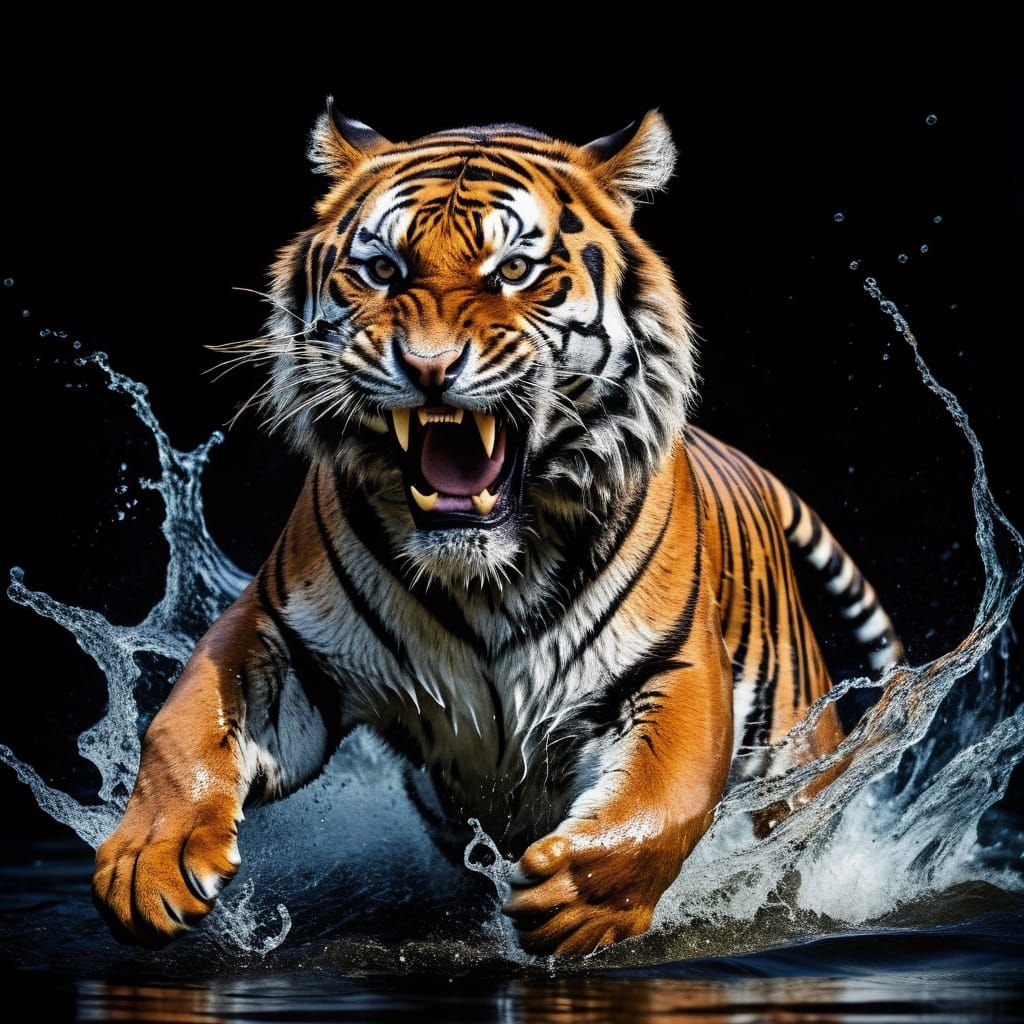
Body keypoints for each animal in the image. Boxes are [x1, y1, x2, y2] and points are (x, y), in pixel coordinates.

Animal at [91, 101, 902, 956]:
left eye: (513, 271)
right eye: (382, 271)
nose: (428, 366)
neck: (484, 574)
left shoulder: (674, 664)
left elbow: (665, 797)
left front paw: (578, 897)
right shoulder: (279, 633)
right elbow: (181, 728)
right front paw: (147, 864)